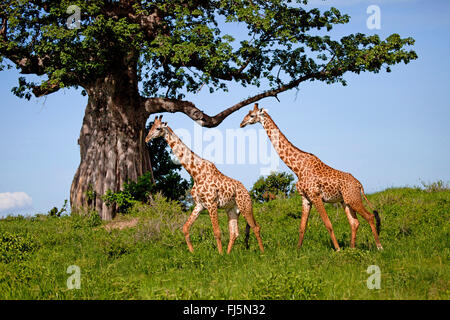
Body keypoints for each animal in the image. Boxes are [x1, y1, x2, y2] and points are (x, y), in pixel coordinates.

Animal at [144, 116, 264, 254]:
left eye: (158, 128)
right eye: (151, 127)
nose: (146, 138)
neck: (196, 173)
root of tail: (247, 191)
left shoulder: (212, 204)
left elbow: (217, 232)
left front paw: (220, 255)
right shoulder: (200, 204)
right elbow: (185, 228)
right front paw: (193, 253)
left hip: (245, 206)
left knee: (256, 227)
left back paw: (262, 253)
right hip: (232, 209)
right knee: (234, 232)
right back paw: (229, 254)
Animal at [239, 104, 384, 251]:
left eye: (252, 115)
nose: (241, 123)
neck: (297, 168)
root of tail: (359, 184)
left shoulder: (316, 196)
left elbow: (328, 224)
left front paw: (337, 249)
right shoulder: (305, 198)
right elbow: (302, 226)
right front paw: (298, 250)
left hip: (353, 199)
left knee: (370, 216)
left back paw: (379, 247)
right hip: (346, 201)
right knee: (354, 222)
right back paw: (352, 248)